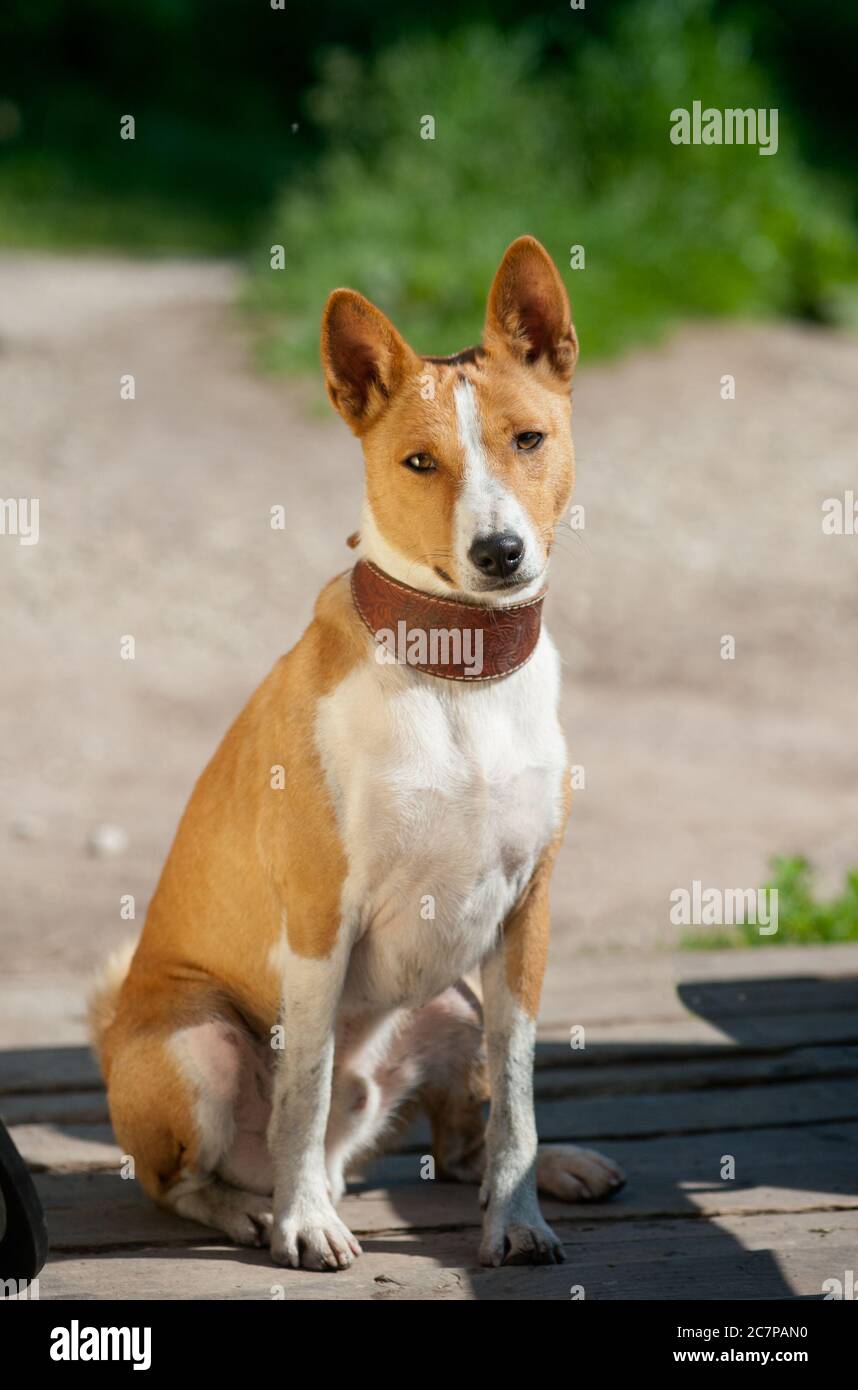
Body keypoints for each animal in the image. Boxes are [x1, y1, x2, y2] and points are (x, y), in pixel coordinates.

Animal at [88, 236, 622, 1273]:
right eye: (420, 462)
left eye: (528, 440)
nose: (500, 552)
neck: (459, 674)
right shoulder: (317, 921)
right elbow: (302, 1089)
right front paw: (301, 1227)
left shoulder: (527, 917)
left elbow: (519, 1104)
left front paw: (520, 1220)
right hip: (198, 1045)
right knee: (183, 1181)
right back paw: (262, 1211)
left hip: (456, 1004)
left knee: (462, 1143)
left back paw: (563, 1170)